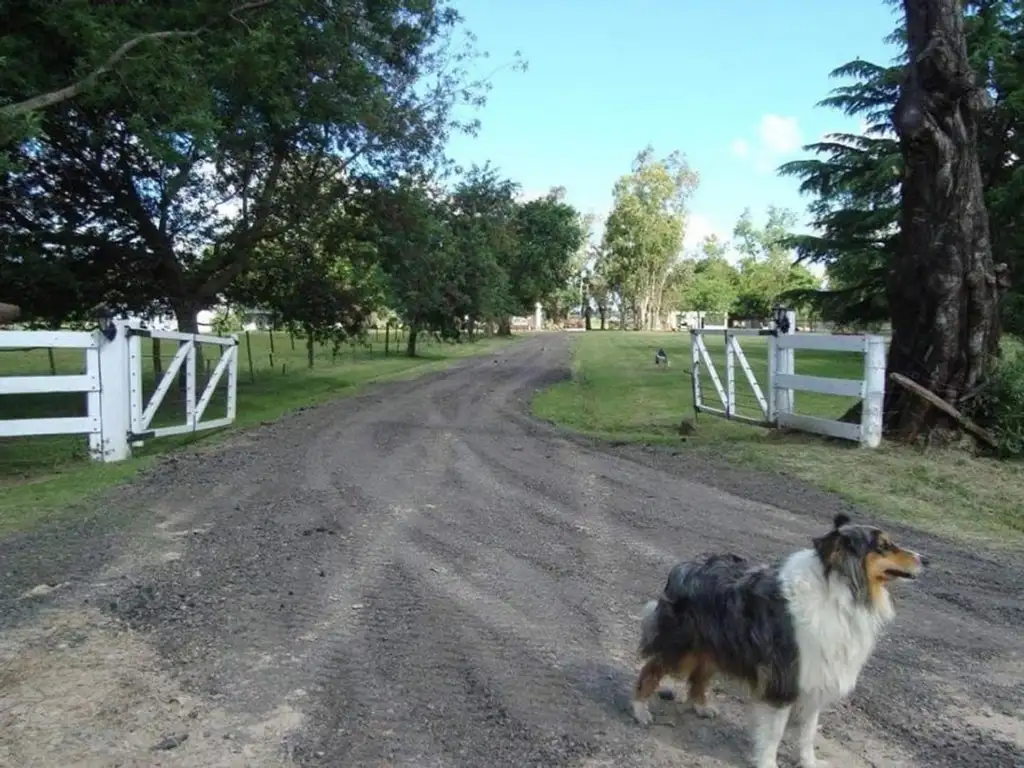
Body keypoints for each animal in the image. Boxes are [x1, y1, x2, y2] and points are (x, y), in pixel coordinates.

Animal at [630, 514, 929, 768]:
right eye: (884, 546)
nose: (926, 559)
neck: (840, 593)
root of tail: (686, 565)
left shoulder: (816, 677)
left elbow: (808, 734)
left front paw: (809, 763)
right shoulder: (784, 678)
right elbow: (774, 733)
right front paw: (767, 763)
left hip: (716, 645)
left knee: (699, 676)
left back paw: (702, 706)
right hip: (682, 646)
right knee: (651, 669)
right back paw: (640, 710)